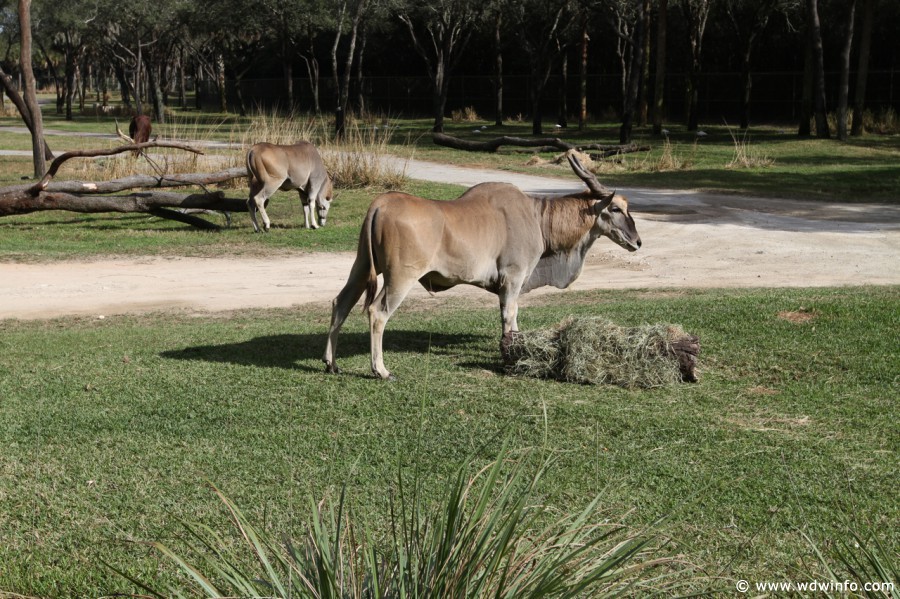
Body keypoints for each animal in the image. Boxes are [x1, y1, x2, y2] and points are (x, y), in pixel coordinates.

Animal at [324, 152, 640, 382]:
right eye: (616, 209)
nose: (637, 242)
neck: (537, 216)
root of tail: (379, 204)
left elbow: (514, 319)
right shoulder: (512, 278)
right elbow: (509, 318)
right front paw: (509, 358)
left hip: (362, 268)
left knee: (341, 303)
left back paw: (331, 363)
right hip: (399, 277)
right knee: (377, 313)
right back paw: (381, 370)